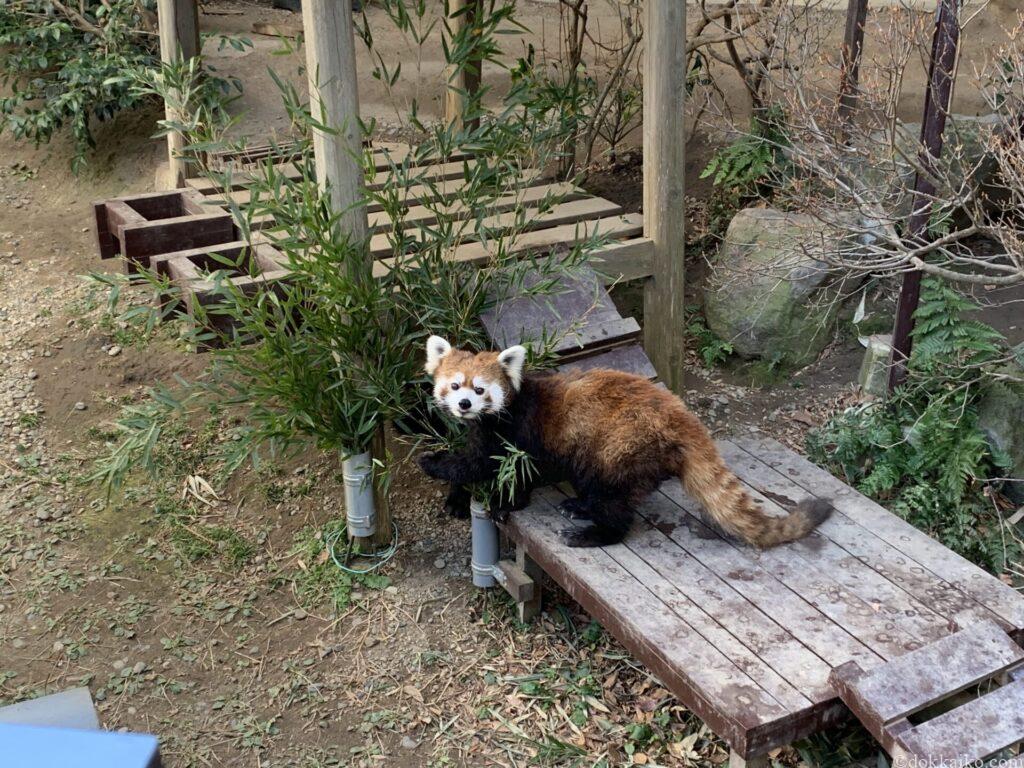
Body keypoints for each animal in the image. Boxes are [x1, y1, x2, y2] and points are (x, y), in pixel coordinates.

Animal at [417, 335, 831, 548]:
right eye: (454, 386)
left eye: (480, 389)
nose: (465, 405)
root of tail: (681, 415)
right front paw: (458, 492)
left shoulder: (517, 433)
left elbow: (485, 466)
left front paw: (436, 465)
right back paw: (579, 506)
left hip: (621, 448)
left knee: (614, 502)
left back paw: (592, 532)